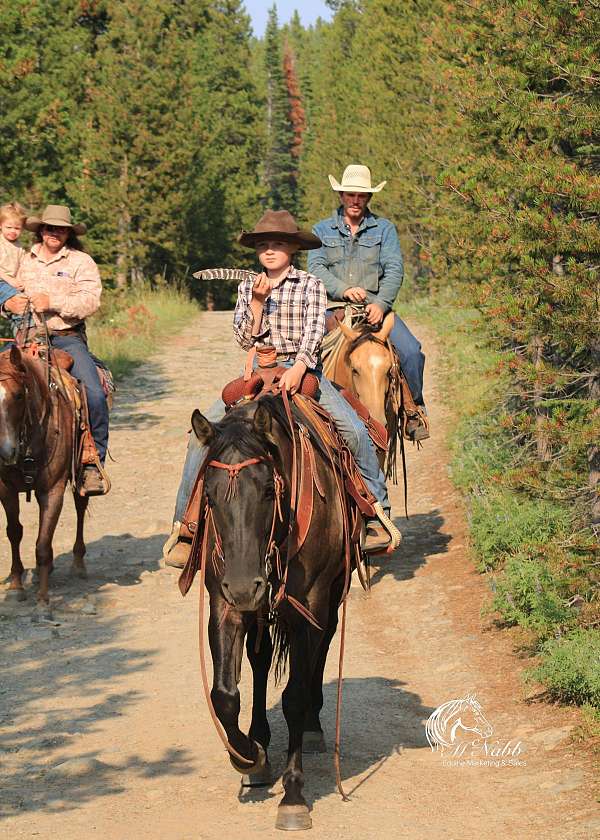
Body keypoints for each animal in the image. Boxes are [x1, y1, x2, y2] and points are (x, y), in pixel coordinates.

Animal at [0, 344, 89, 612]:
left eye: (19, 395)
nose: (5, 452)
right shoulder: (5, 489)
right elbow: (14, 532)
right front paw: (16, 585)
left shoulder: (52, 490)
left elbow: (42, 544)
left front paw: (42, 599)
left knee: (80, 507)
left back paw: (78, 563)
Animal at [179, 396, 370, 832]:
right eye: (208, 494)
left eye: (268, 489)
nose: (244, 585)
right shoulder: (225, 605)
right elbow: (224, 695)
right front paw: (249, 756)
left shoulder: (308, 606)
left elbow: (294, 696)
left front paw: (294, 796)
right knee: (261, 659)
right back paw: (259, 739)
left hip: (329, 595)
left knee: (323, 645)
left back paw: (314, 728)